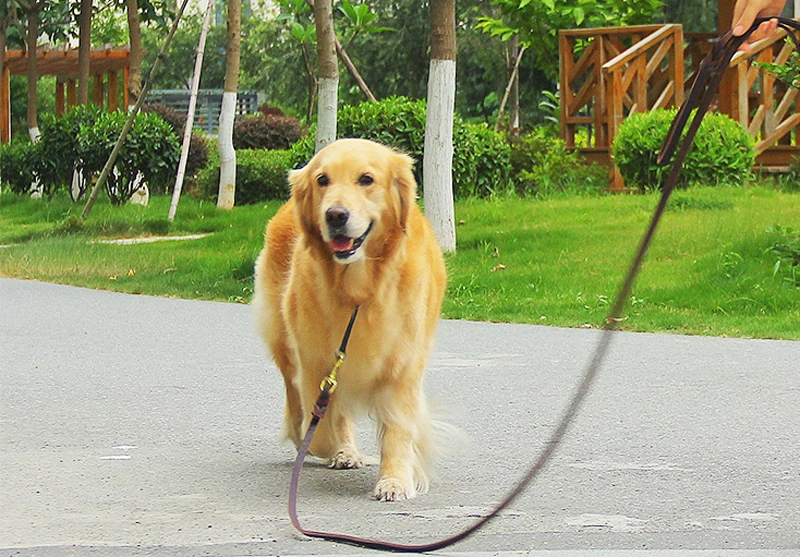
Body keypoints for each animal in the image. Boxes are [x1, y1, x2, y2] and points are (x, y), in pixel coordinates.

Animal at [253, 138, 446, 500]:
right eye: (322, 180)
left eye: (366, 179)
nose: (335, 215)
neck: (360, 291)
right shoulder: (314, 361)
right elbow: (320, 425)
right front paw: (325, 444)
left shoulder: (402, 363)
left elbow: (399, 427)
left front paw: (395, 480)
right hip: (284, 342)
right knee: (301, 401)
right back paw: (335, 448)